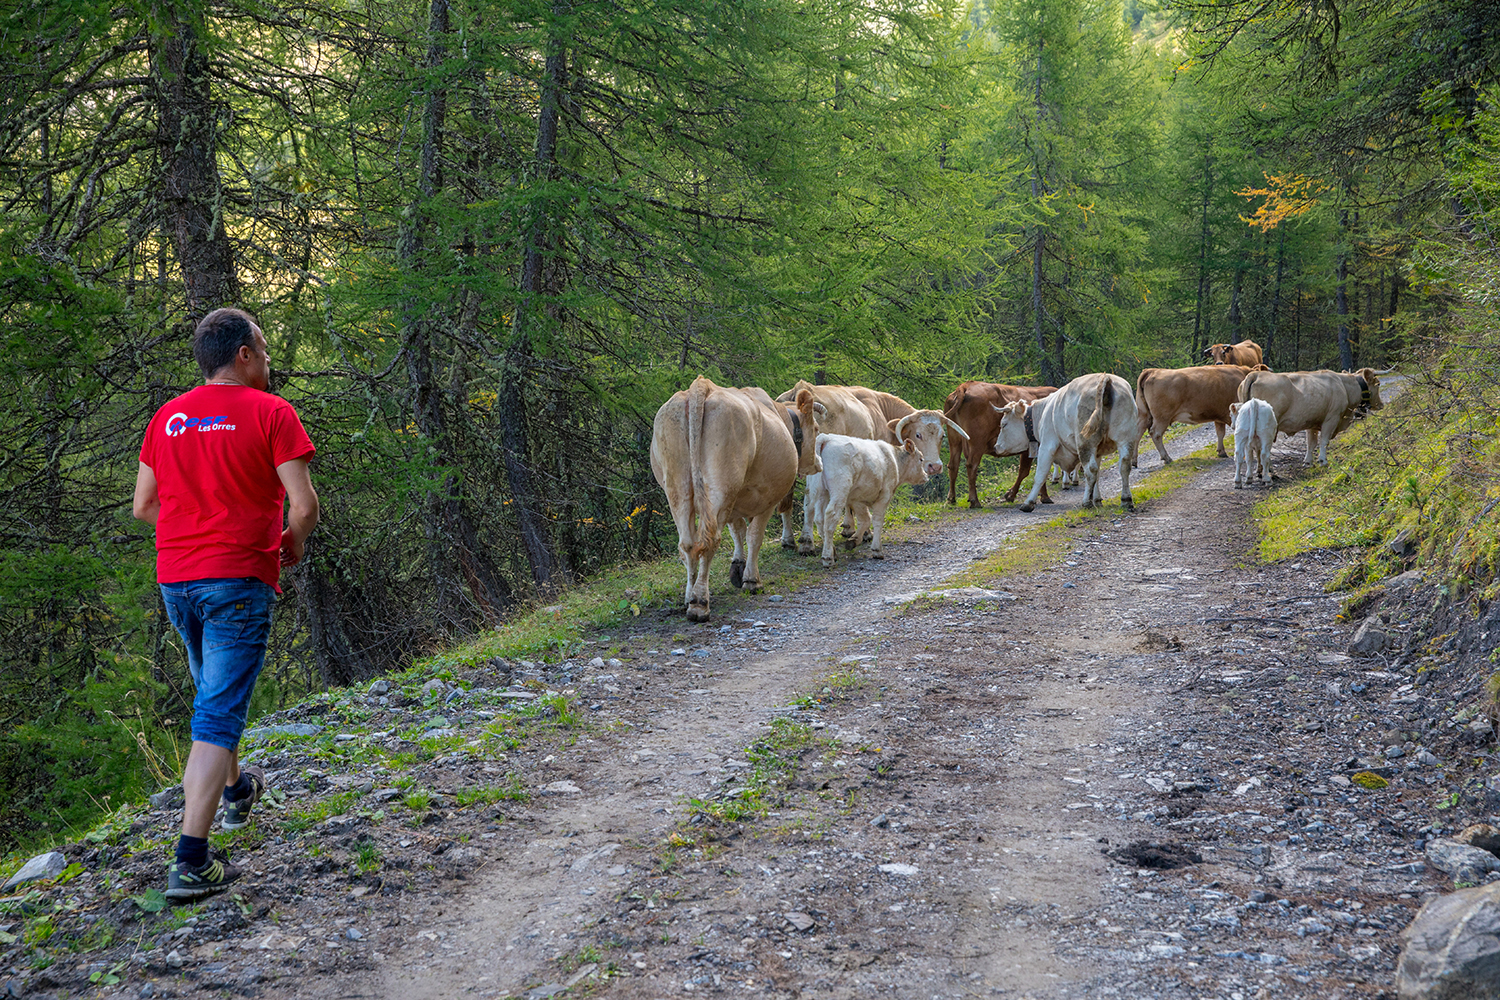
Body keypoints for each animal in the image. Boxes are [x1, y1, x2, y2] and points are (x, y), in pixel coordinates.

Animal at [651, 379, 822, 620]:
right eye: (816, 429)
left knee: (688, 543)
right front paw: (751, 580)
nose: (818, 463)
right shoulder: (766, 498)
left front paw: (737, 567)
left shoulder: (734, 503)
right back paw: (699, 602)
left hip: (678, 489)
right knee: (709, 540)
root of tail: (702, 385)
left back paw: (689, 595)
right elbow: (754, 536)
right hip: (721, 488)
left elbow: (738, 532)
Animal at [810, 431, 924, 566]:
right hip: (839, 491)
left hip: (820, 492)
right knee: (830, 517)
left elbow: (865, 519)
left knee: (819, 519)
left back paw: (833, 551)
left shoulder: (857, 498)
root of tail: (826, 437)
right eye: (921, 459)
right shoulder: (885, 495)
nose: (925, 476)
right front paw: (877, 550)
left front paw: (854, 540)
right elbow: (877, 520)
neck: (894, 459)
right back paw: (828, 557)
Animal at [942, 380, 1062, 512]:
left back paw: (951, 499)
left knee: (953, 466)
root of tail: (966, 385)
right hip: (976, 443)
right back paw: (975, 501)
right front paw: (1011, 495)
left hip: (955, 439)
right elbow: (1026, 471)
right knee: (971, 466)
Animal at [1236, 367, 1386, 464]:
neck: (1343, 385)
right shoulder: (1332, 418)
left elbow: (1311, 443)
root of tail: (1255, 374)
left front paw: (1308, 461)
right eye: (1378, 384)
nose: (1381, 405)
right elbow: (1324, 441)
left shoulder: (1312, 422)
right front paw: (1323, 460)